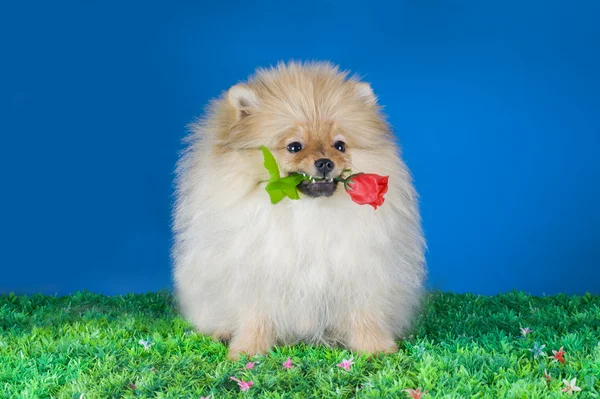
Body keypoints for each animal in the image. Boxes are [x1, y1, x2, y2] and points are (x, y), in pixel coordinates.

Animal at [172, 61, 426, 360]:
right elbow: (256, 317)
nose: (325, 162)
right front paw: (248, 351)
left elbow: (365, 315)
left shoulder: (360, 272)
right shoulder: (256, 275)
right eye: (294, 146)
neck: (308, 212)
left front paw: (376, 349)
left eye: (340, 145)